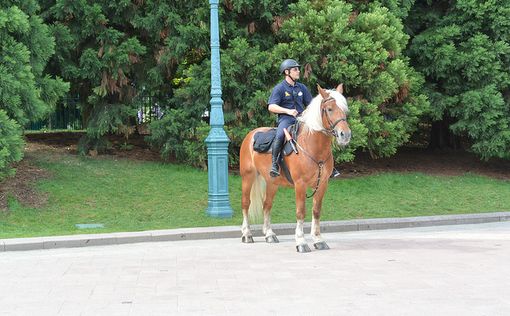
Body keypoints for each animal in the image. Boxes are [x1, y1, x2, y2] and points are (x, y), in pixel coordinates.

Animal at [239, 83, 350, 252]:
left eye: (344, 109)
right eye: (330, 109)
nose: (345, 135)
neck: (313, 146)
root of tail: (251, 134)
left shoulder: (322, 184)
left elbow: (316, 211)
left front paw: (318, 239)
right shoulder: (300, 184)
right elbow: (300, 212)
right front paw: (301, 241)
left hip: (272, 182)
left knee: (267, 205)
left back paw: (269, 234)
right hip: (248, 177)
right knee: (246, 203)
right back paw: (247, 234)